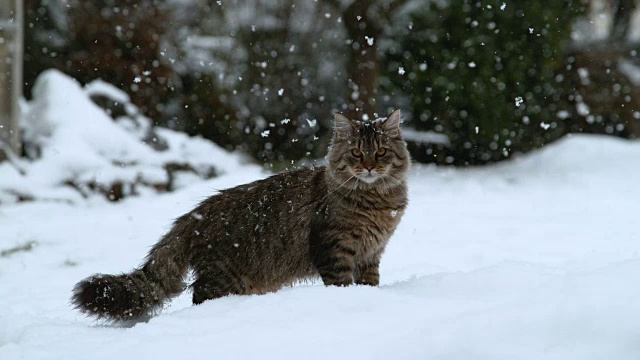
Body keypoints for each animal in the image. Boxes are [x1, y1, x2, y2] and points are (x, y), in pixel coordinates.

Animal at [70, 108, 410, 322]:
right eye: (356, 153)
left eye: (380, 152)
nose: (369, 166)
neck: (376, 202)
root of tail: (195, 213)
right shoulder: (333, 249)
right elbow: (342, 283)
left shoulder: (372, 252)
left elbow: (370, 282)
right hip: (224, 276)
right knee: (200, 294)